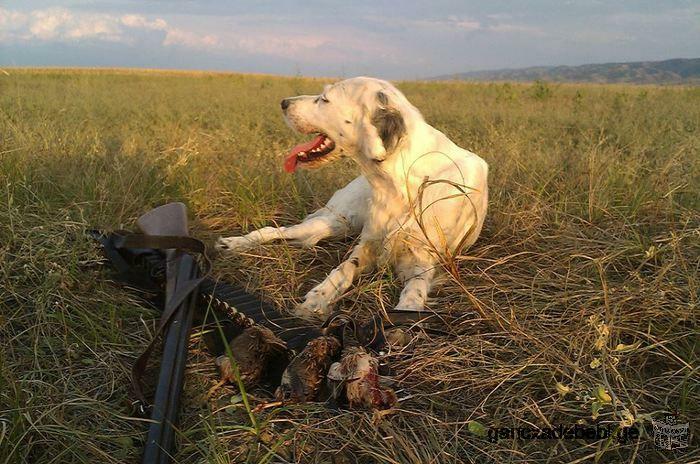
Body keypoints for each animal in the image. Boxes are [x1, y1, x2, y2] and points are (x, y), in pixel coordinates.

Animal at [216, 78, 490, 320]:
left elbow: (414, 293)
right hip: (339, 221)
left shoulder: (421, 259)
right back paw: (233, 244)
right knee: (274, 230)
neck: (401, 179)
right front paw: (319, 296)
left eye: (324, 99)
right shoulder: (369, 242)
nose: (283, 102)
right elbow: (346, 267)